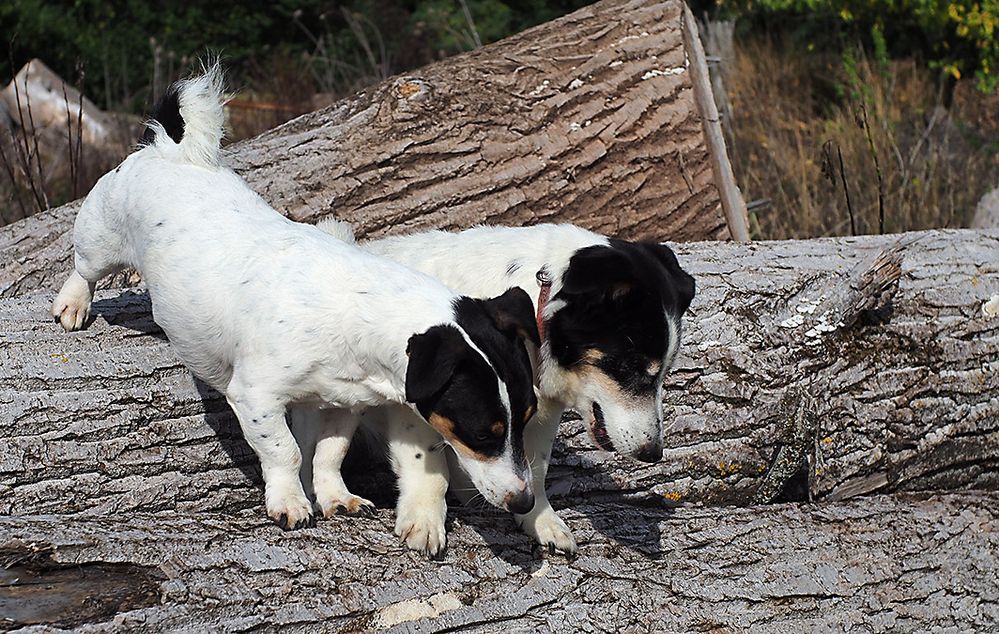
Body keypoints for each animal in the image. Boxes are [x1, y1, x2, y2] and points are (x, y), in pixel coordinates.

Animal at [50, 66, 544, 532]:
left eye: (527, 420)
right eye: (482, 435)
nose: (526, 502)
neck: (356, 307)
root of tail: (169, 150)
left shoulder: (341, 406)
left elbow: (328, 455)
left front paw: (335, 498)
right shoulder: (255, 398)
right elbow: (284, 452)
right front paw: (289, 502)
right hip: (101, 238)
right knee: (83, 269)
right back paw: (73, 305)